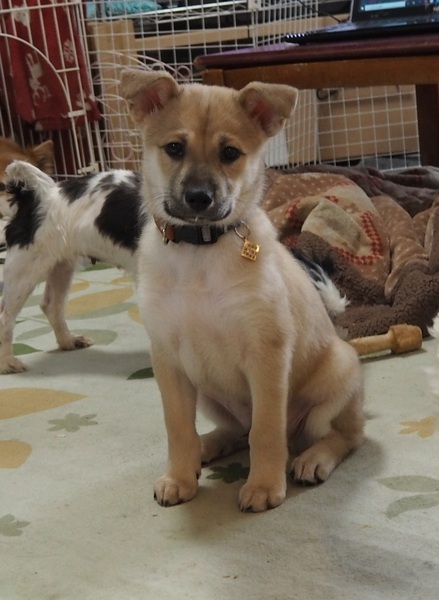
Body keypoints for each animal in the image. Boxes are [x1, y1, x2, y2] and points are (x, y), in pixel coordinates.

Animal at [0, 161, 147, 374]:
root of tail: (36, 196)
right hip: (24, 271)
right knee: (5, 317)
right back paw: (6, 362)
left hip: (62, 266)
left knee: (51, 306)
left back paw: (68, 341)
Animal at [120, 69, 365, 512]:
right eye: (174, 148)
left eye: (230, 153)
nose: (199, 198)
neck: (199, 251)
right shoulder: (169, 359)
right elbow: (177, 427)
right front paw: (179, 477)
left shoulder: (266, 353)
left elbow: (265, 431)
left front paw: (264, 486)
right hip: (207, 392)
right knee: (235, 429)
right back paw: (208, 445)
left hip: (337, 375)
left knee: (343, 436)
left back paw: (313, 459)